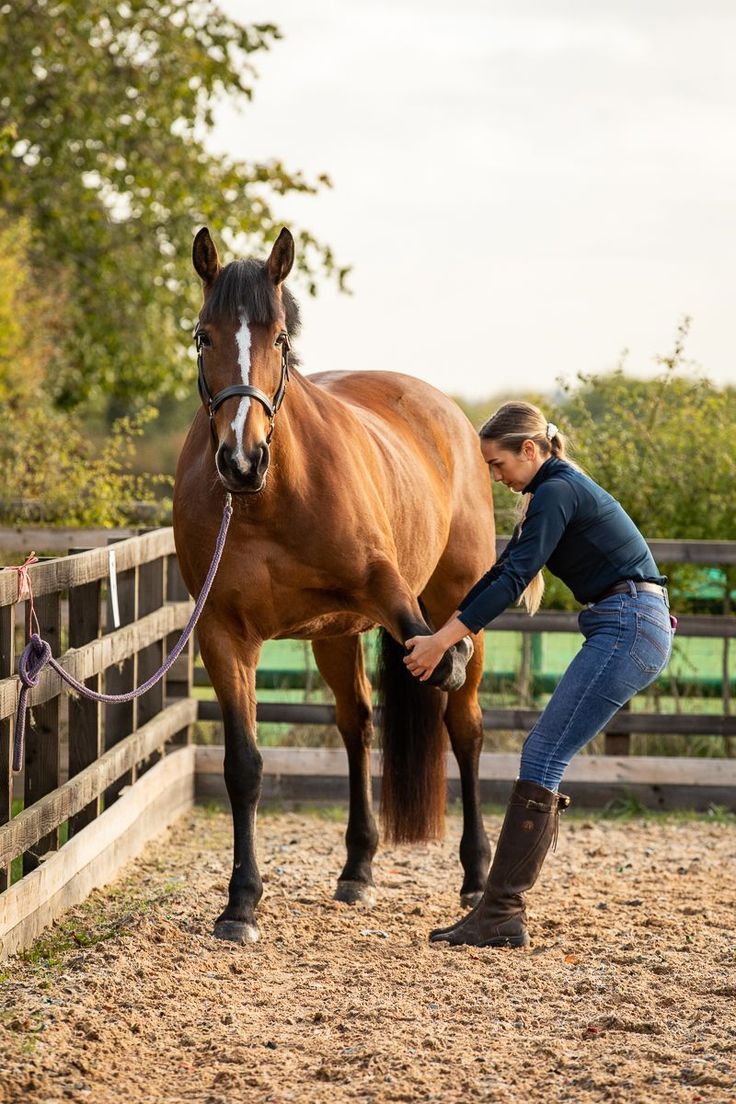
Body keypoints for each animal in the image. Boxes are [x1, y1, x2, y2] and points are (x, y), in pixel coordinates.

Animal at [173, 228, 494, 945]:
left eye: (280, 338)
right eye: (204, 336)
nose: (242, 460)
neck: (267, 500)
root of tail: (448, 413)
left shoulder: (392, 597)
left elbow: (438, 664)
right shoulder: (223, 637)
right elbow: (244, 766)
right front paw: (241, 902)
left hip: (452, 601)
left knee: (463, 728)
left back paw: (476, 875)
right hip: (333, 638)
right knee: (358, 727)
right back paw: (358, 868)